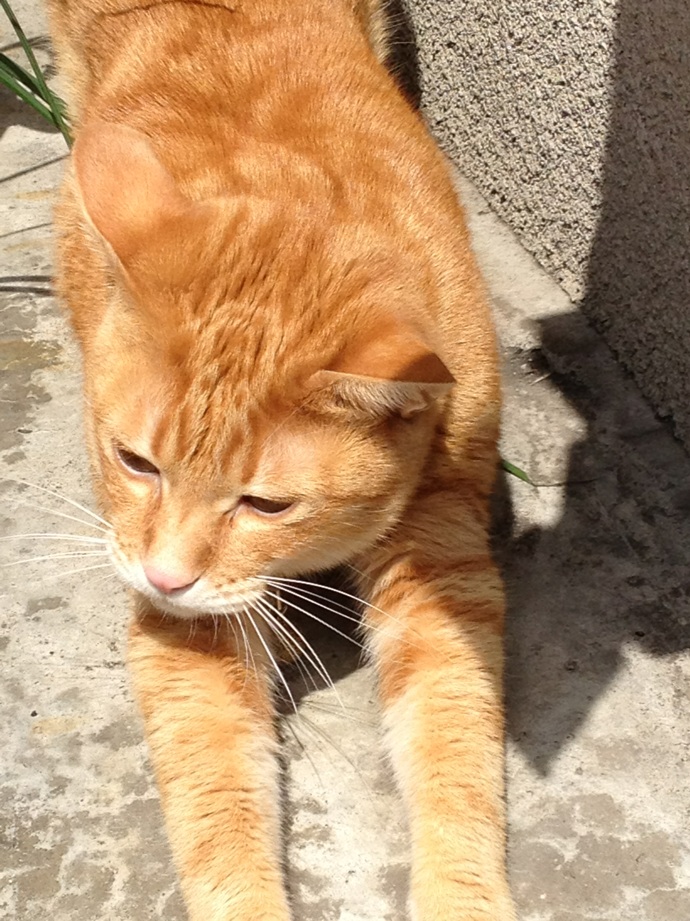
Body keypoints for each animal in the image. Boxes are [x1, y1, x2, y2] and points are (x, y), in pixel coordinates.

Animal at [45, 0, 516, 918]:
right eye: (135, 461)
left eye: (266, 505)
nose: (164, 576)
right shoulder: (186, 625)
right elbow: (219, 802)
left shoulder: (443, 554)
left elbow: (453, 742)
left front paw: (461, 891)